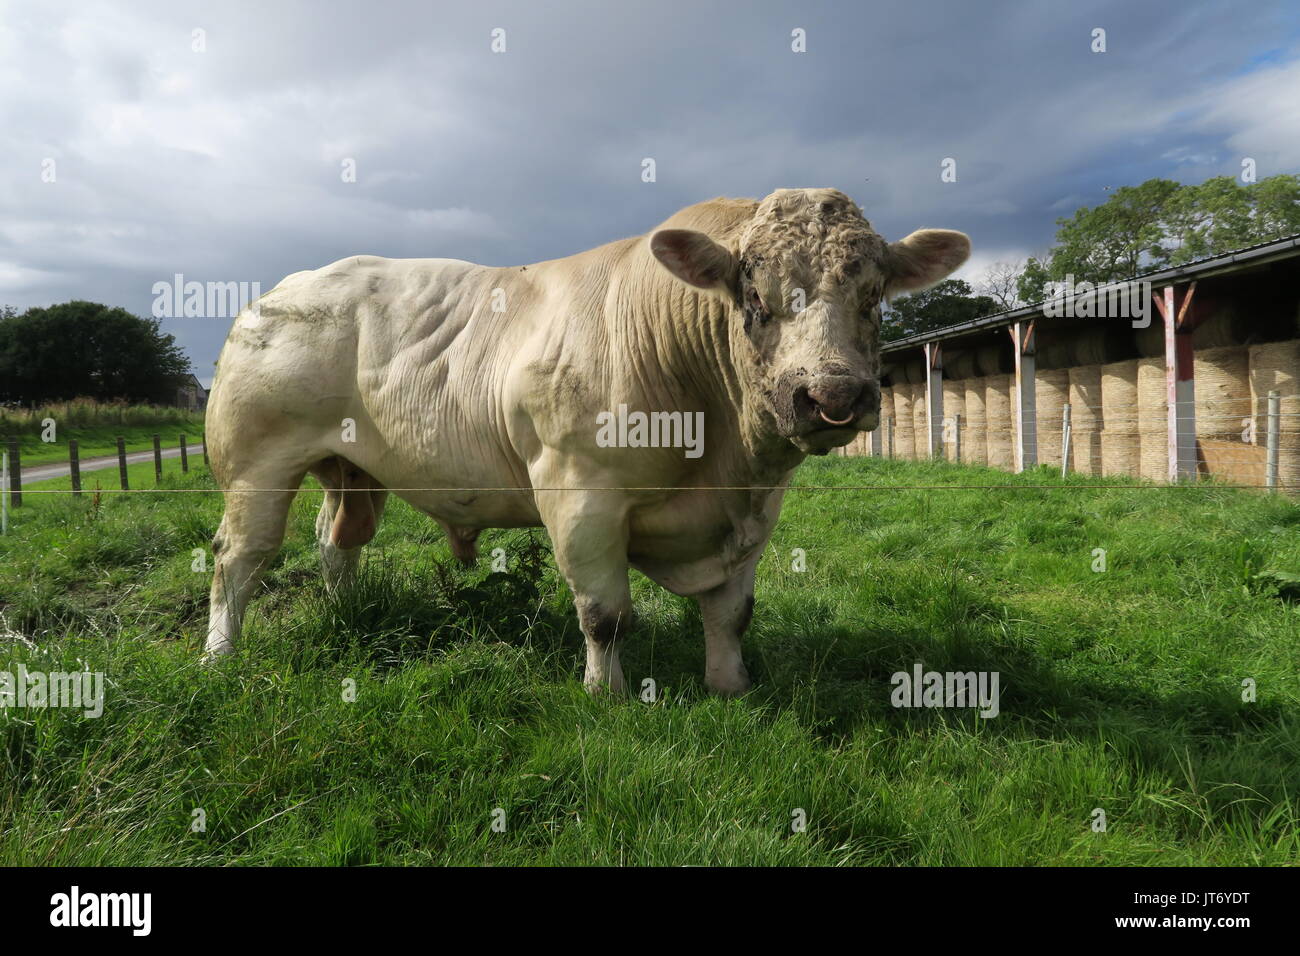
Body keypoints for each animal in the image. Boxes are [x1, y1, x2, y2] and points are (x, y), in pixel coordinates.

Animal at [203, 187, 969, 695]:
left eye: (874, 298)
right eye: (753, 298)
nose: (833, 396)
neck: (722, 457)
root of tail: (282, 289)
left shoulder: (757, 510)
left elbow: (732, 613)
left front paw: (732, 687)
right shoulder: (580, 494)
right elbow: (605, 615)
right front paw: (607, 697)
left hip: (352, 468)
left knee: (338, 543)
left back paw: (346, 612)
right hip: (256, 464)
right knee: (238, 559)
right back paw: (219, 656)